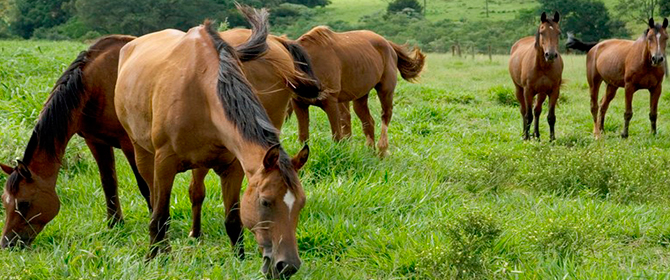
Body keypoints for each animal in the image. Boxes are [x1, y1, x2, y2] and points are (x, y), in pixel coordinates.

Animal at [115, 8, 312, 280]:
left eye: (301, 203)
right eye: (265, 202)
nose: (287, 266)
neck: (200, 89)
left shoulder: (233, 167)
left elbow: (233, 220)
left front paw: (239, 260)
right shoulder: (164, 162)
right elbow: (160, 216)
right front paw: (152, 259)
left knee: (195, 191)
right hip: (142, 153)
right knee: (154, 200)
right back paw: (163, 249)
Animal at [288, 26, 426, 156]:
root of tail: (388, 43)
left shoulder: (330, 103)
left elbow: (337, 136)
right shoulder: (299, 104)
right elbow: (303, 138)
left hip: (386, 90)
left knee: (386, 115)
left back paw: (382, 150)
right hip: (360, 97)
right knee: (368, 122)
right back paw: (370, 153)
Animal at [512, 12, 564, 141]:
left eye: (559, 32)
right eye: (542, 32)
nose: (550, 55)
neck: (543, 66)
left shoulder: (554, 91)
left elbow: (551, 116)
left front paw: (552, 139)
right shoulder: (528, 91)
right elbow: (528, 115)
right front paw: (526, 137)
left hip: (542, 92)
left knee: (537, 110)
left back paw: (536, 134)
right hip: (519, 89)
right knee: (523, 110)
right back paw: (525, 134)